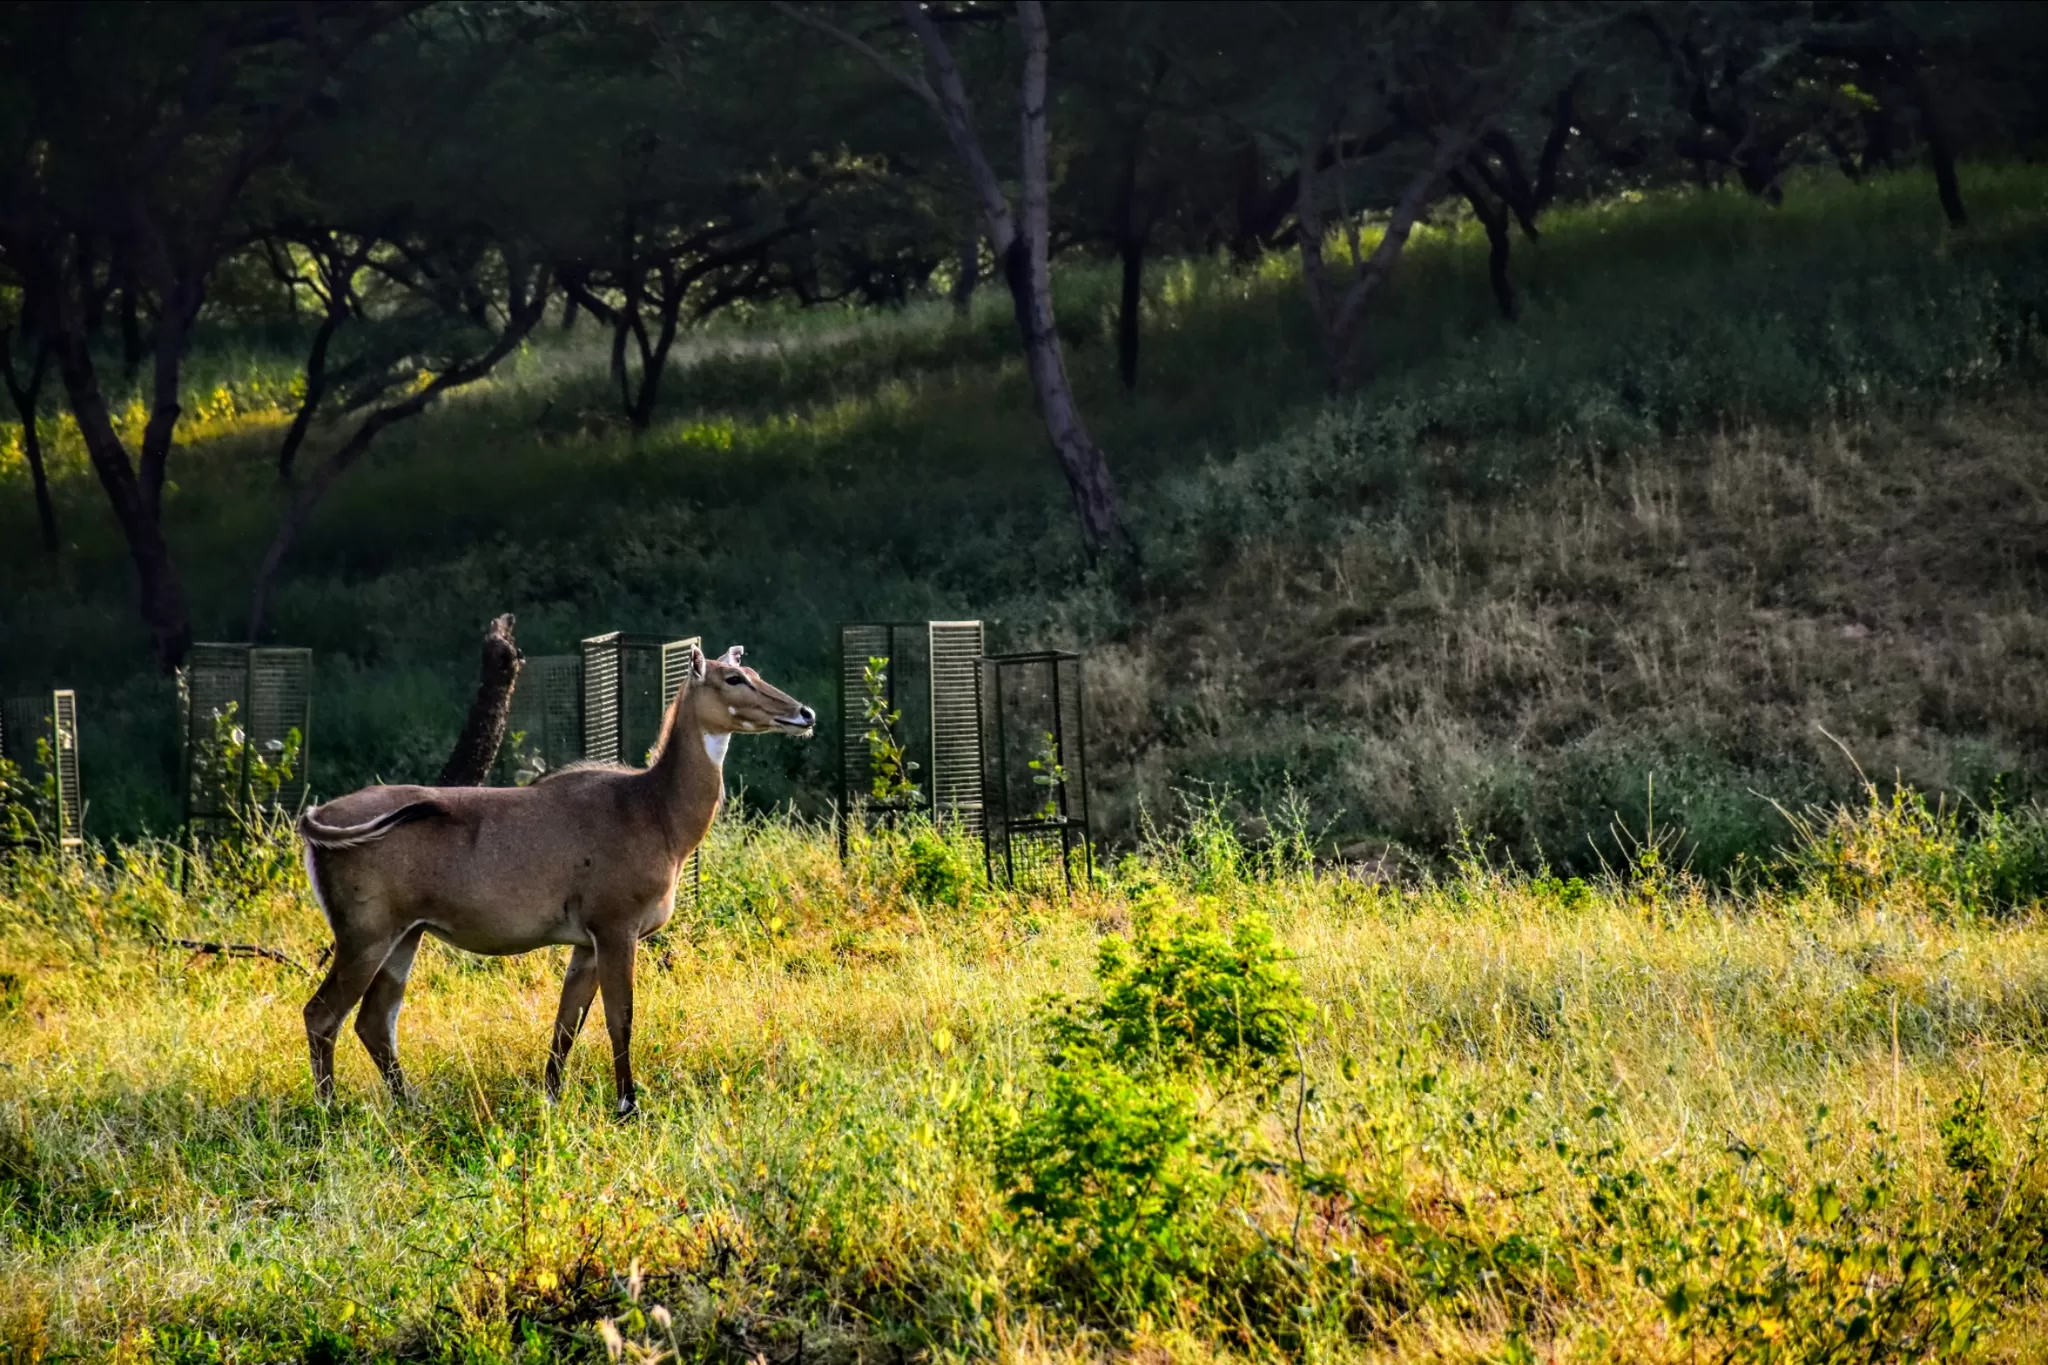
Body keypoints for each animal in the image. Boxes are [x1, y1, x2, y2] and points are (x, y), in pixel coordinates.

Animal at [299, 646, 811, 1113]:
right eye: (733, 678)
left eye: (752, 671)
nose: (803, 713)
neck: (656, 811)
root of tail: (315, 819)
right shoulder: (616, 926)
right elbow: (620, 1016)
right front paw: (627, 1105)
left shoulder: (585, 942)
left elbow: (568, 1021)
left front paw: (550, 1097)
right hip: (365, 933)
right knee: (322, 1013)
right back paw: (330, 1111)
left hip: (407, 934)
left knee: (374, 1020)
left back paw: (411, 1106)